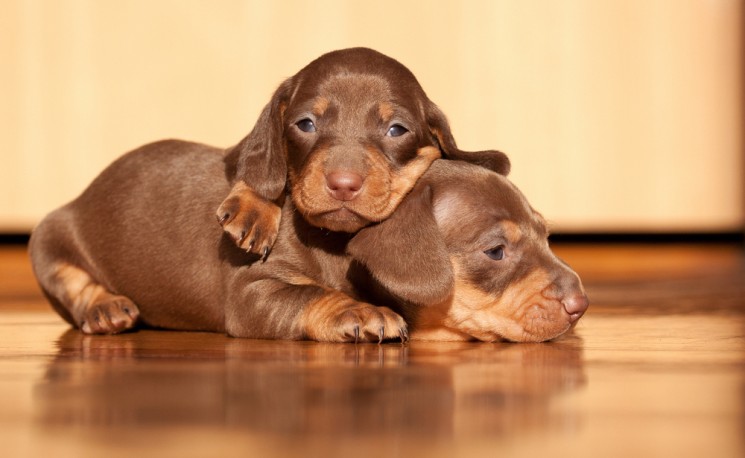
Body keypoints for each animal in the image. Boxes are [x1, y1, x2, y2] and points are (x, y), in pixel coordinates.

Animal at [29, 141, 588, 342]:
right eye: (496, 251)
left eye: (546, 235)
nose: (582, 304)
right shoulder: (254, 290)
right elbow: (310, 295)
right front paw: (360, 313)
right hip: (49, 237)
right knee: (73, 281)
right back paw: (105, 308)